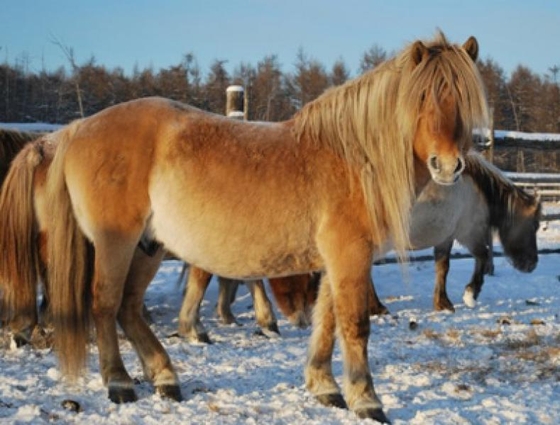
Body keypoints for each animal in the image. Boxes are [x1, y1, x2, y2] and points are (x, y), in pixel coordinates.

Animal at [41, 32, 488, 420]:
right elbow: (354, 326)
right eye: (423, 96)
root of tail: (78, 129)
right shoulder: (350, 256)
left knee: (130, 307)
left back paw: (165, 377)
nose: (448, 166)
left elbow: (327, 321)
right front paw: (367, 401)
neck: (354, 157)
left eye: (465, 97)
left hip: (148, 246)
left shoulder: (336, 261)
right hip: (116, 243)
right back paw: (119, 383)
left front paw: (325, 387)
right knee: (105, 303)